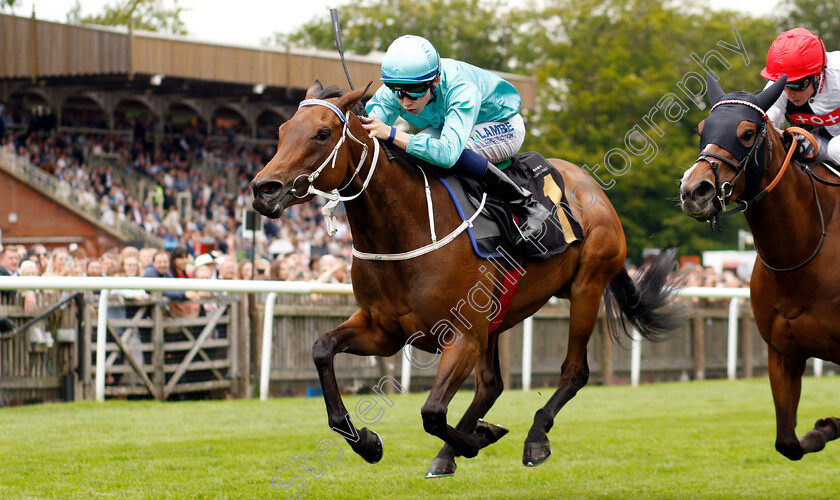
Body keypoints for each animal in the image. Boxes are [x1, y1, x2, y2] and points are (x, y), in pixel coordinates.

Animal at [251, 80, 684, 474]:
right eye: (281, 130)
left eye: (322, 134)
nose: (263, 189)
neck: (407, 230)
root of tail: (588, 182)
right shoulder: (385, 331)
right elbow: (322, 348)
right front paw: (368, 443)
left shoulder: (459, 335)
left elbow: (431, 412)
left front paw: (477, 440)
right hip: (494, 318)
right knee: (491, 384)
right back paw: (451, 452)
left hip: (586, 287)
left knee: (574, 372)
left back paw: (534, 437)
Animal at [680, 74, 840, 460]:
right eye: (702, 128)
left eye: (747, 132)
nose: (694, 190)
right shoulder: (782, 352)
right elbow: (788, 443)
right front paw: (823, 428)